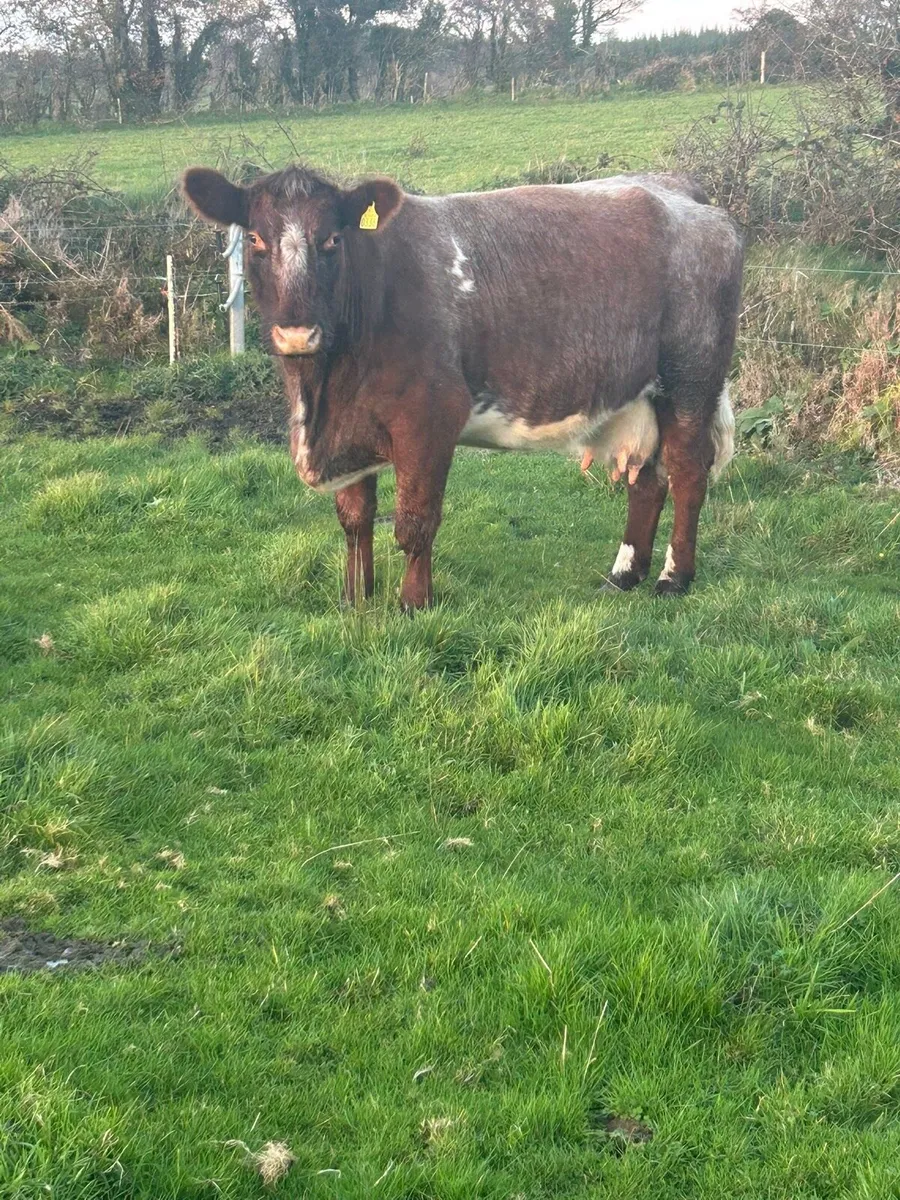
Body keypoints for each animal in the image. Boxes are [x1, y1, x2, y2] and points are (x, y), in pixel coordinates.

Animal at [182, 164, 743, 610]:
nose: (298, 333)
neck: (323, 393)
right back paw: (625, 574)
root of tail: (678, 188)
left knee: (688, 474)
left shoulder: (430, 417)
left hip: (691, 380)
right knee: (646, 481)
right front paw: (355, 598)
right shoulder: (354, 425)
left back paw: (674, 578)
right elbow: (355, 519)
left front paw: (413, 603)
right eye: (255, 239)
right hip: (639, 396)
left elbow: (414, 521)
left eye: (333, 240)